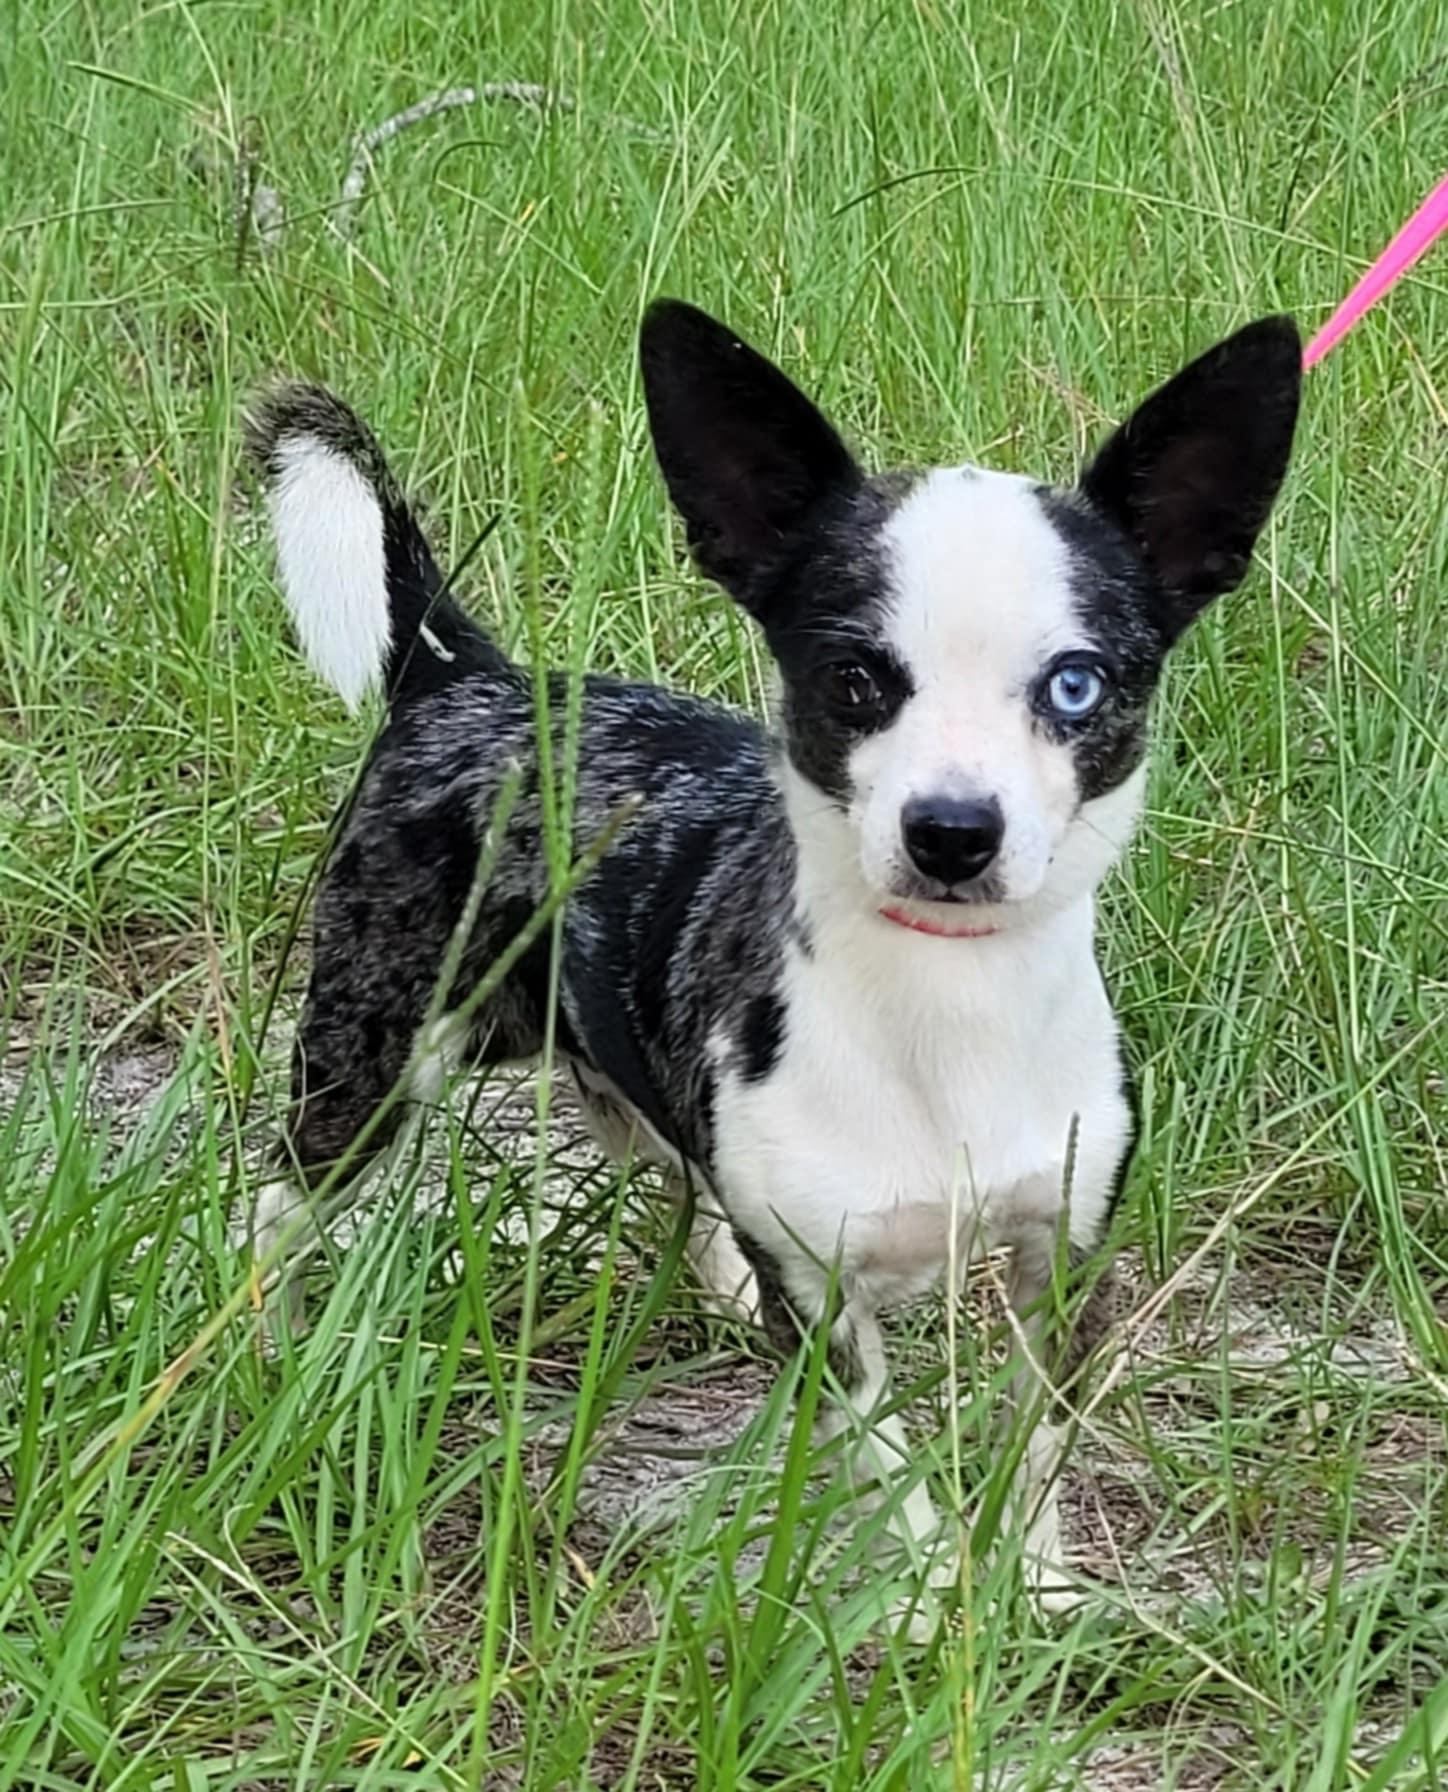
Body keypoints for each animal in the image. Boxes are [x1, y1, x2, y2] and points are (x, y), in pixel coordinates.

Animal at [244, 300, 1300, 1620]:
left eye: (1074, 684)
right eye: (851, 679)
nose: (952, 829)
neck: (946, 1001)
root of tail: (468, 675)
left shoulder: (1060, 1263)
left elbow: (1032, 1444)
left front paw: (1038, 1592)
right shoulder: (826, 1311)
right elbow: (890, 1473)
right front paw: (926, 1607)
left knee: (680, 1178)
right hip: (369, 1071)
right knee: (277, 1202)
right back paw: (267, 1351)